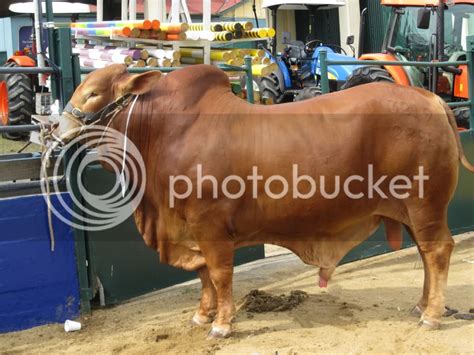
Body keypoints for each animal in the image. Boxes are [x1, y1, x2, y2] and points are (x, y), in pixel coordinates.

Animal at [54, 64, 474, 340]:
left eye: (93, 93)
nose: (55, 128)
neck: (162, 131)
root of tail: (430, 98)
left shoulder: (210, 226)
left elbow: (219, 274)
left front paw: (222, 324)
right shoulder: (191, 229)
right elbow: (202, 274)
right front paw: (202, 315)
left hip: (425, 205)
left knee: (437, 251)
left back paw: (432, 315)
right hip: (410, 211)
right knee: (425, 254)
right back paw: (423, 305)